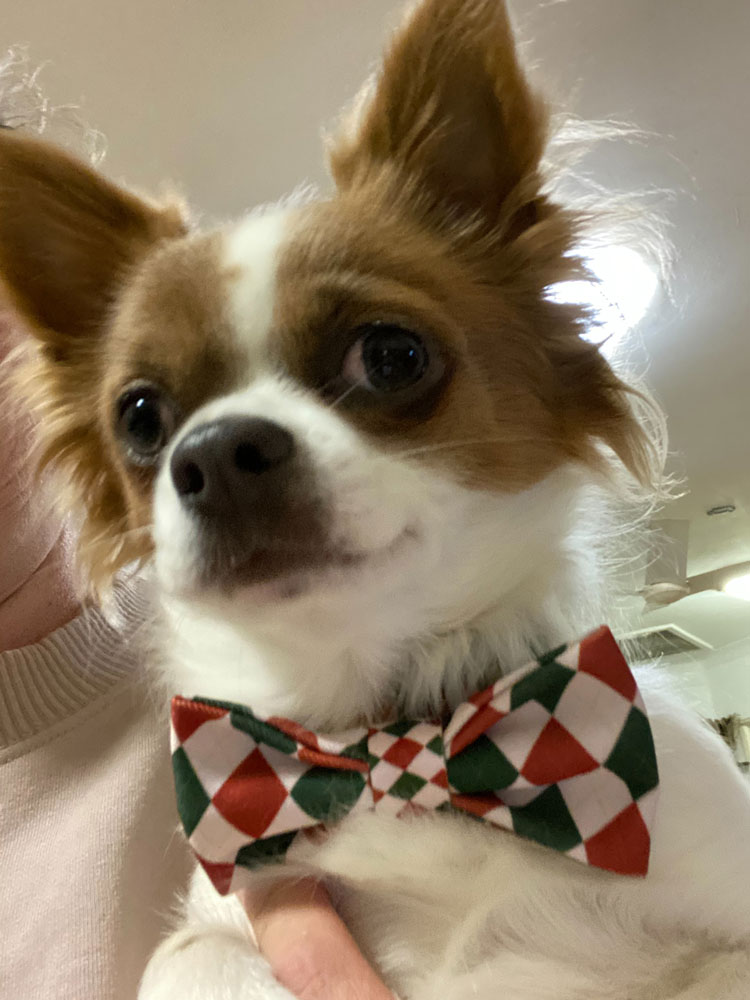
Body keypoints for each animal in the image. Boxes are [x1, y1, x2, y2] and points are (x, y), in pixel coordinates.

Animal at [1, 0, 750, 997]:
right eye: (141, 416)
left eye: (391, 354)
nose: (217, 453)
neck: (387, 741)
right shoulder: (226, 921)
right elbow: (194, 959)